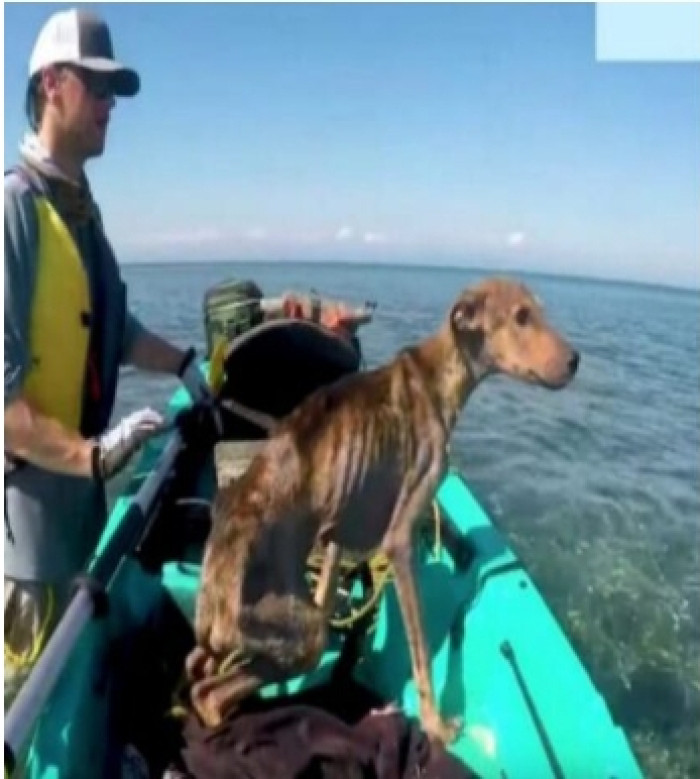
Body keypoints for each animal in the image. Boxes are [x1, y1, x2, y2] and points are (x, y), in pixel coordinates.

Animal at [185, 278, 580, 748]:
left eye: (538, 310)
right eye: (521, 316)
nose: (576, 361)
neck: (438, 376)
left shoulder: (338, 530)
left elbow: (330, 583)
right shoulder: (399, 540)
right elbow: (421, 651)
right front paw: (435, 725)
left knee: (201, 677)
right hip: (300, 635)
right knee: (209, 695)